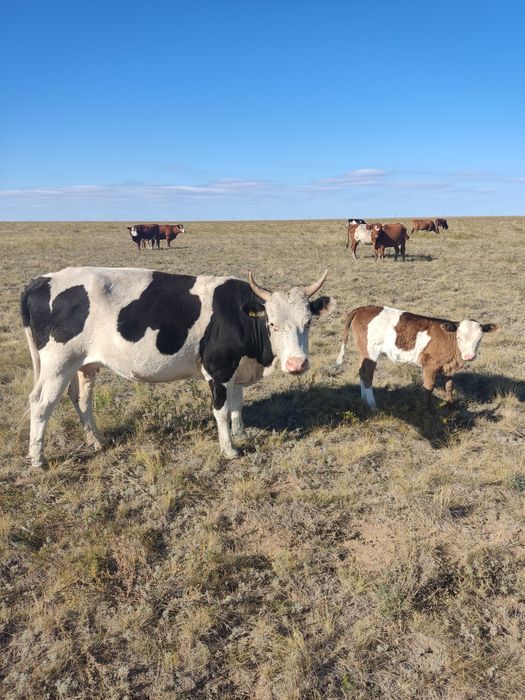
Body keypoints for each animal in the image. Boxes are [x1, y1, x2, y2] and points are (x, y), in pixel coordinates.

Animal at [21, 268, 335, 468]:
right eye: (272, 324)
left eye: (308, 322)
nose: (297, 364)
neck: (239, 316)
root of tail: (39, 281)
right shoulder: (218, 371)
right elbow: (221, 412)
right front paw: (229, 449)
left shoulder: (235, 371)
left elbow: (237, 406)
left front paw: (242, 434)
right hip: (57, 365)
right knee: (40, 403)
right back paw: (38, 459)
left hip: (84, 365)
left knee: (81, 399)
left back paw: (97, 441)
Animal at [334, 305, 498, 409]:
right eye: (459, 337)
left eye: (479, 338)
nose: (469, 356)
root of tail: (363, 308)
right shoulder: (430, 365)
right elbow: (429, 387)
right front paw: (426, 409)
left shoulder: (448, 366)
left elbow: (450, 385)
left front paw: (451, 404)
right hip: (371, 351)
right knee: (367, 375)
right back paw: (372, 405)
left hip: (364, 352)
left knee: (361, 371)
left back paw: (363, 399)